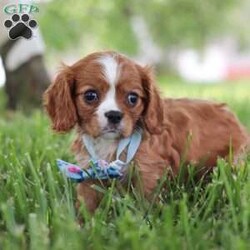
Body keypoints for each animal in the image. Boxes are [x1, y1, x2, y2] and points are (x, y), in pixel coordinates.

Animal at [44, 51, 249, 214]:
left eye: (133, 98)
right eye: (90, 95)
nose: (114, 115)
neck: (111, 144)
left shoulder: (149, 170)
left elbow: (146, 201)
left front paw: (145, 222)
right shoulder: (89, 170)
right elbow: (87, 203)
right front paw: (82, 225)